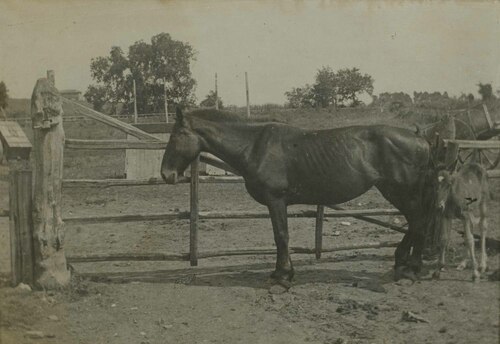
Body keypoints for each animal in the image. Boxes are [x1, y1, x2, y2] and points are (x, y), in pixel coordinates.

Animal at [161, 109, 434, 286]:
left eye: (175, 136)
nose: (166, 174)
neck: (254, 146)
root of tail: (420, 138)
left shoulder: (276, 200)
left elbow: (281, 236)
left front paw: (282, 278)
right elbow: (280, 236)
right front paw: (282, 274)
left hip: (400, 191)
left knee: (419, 223)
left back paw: (410, 271)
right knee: (415, 224)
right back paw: (402, 265)